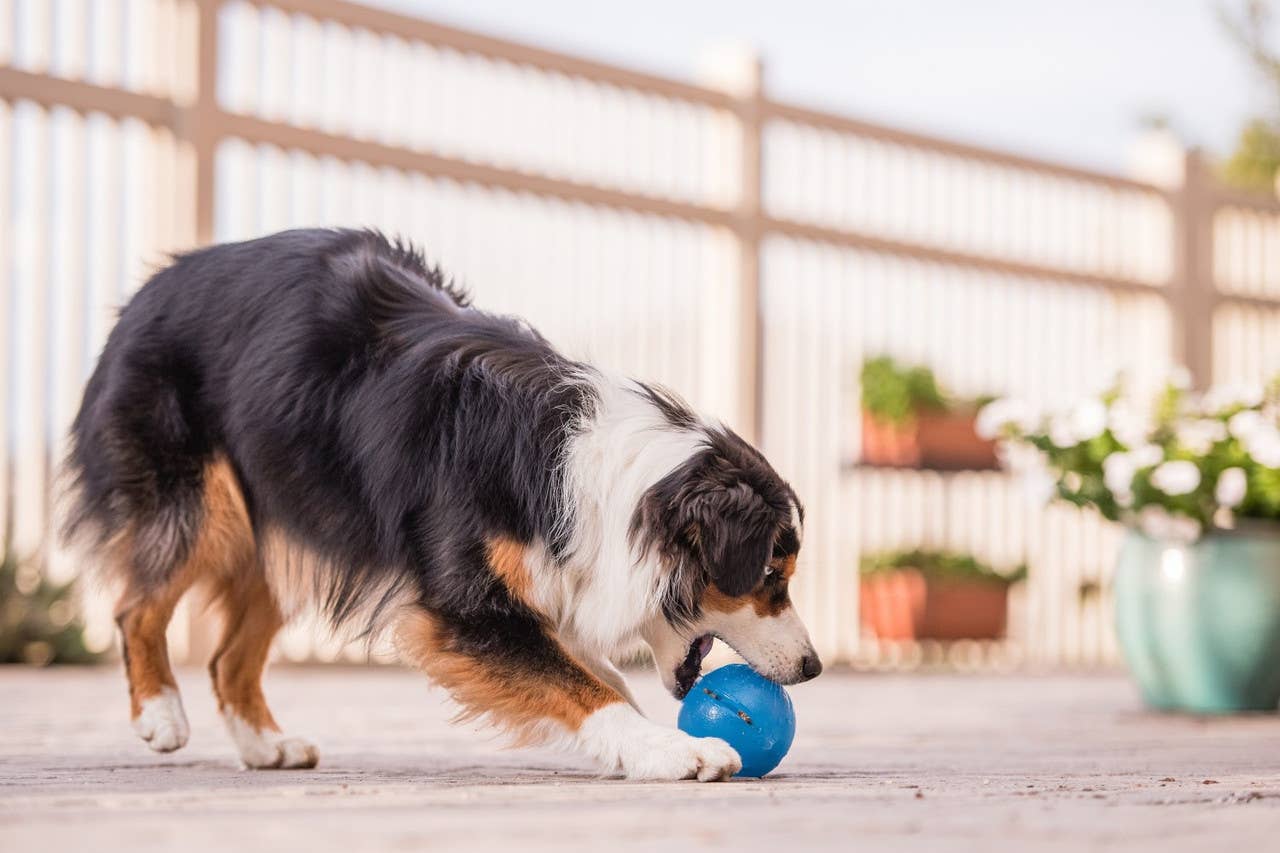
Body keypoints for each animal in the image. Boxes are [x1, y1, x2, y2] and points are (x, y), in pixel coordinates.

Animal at [64, 224, 819, 778]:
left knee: (227, 656)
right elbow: (581, 681)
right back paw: (160, 714)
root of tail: (149, 286)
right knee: (136, 606)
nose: (812, 667)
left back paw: (264, 744)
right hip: (202, 502)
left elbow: (582, 669)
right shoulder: (462, 606)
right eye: (770, 575)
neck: (609, 480)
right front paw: (670, 748)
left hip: (295, 516)